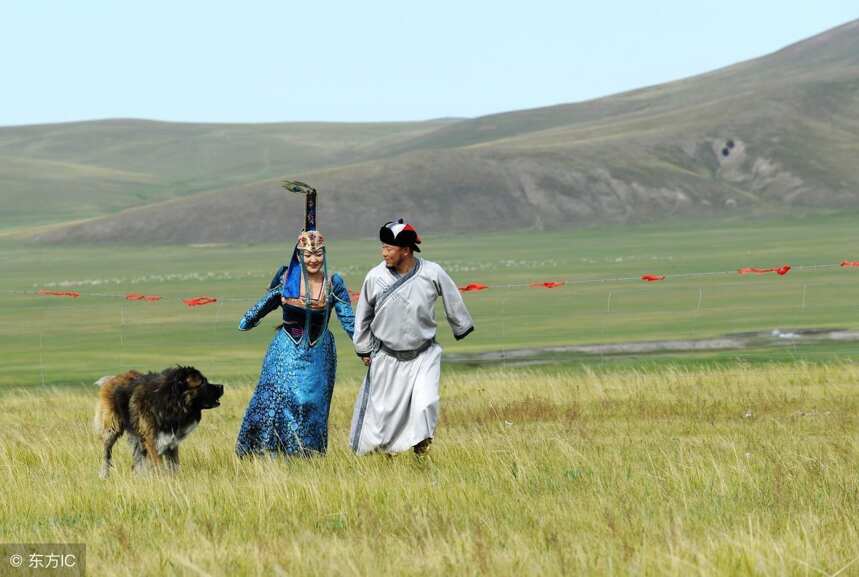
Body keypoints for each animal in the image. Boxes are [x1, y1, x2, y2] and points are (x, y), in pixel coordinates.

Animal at [93, 364, 225, 476]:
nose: (221, 386)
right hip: (112, 429)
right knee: (107, 453)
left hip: (138, 438)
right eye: (202, 382)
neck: (170, 403)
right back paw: (105, 474)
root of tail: (112, 378)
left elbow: (174, 465)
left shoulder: (171, 440)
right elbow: (159, 465)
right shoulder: (152, 441)